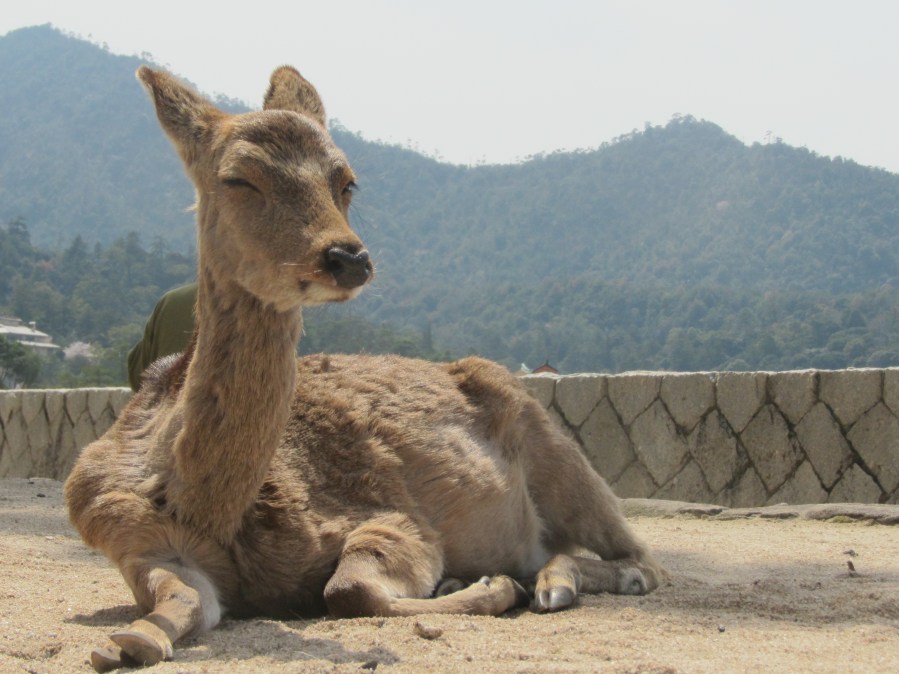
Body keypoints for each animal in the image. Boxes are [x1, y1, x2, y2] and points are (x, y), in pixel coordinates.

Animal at [64, 65, 666, 672]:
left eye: (347, 181)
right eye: (237, 178)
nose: (347, 256)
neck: (209, 511)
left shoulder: (392, 517)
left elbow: (347, 590)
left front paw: (488, 585)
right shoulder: (127, 534)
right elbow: (176, 602)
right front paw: (124, 642)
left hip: (562, 455)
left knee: (644, 556)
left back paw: (555, 583)